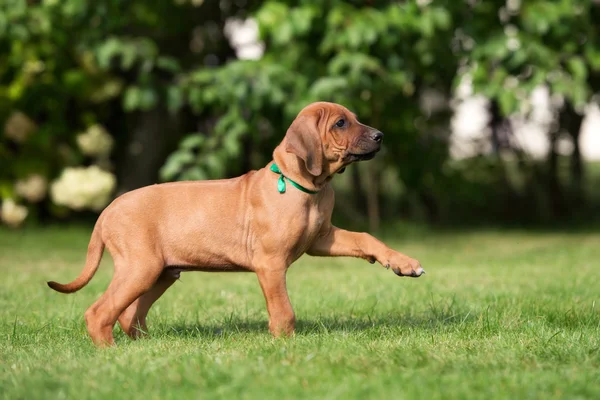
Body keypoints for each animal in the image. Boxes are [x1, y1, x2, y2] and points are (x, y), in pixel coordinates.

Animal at [47, 102, 424, 346]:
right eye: (341, 124)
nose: (380, 135)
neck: (304, 186)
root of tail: (108, 210)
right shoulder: (270, 264)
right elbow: (283, 310)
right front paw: (286, 345)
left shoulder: (322, 238)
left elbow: (365, 237)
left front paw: (402, 263)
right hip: (140, 267)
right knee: (99, 312)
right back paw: (110, 352)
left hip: (161, 272)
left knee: (128, 315)